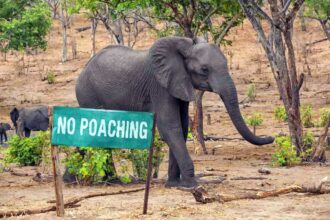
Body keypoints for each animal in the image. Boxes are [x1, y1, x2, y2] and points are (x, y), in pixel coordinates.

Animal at [75, 37, 274, 188]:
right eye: (204, 69)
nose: (271, 137)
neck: (184, 49)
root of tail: (84, 68)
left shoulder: (180, 84)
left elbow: (183, 126)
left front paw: (174, 185)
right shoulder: (159, 86)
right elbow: (171, 127)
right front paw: (191, 186)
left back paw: (111, 181)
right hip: (88, 94)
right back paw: (112, 182)